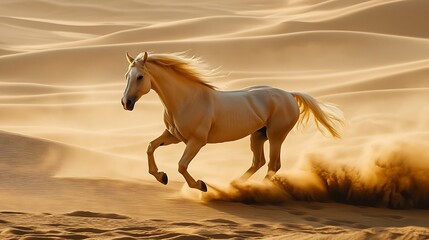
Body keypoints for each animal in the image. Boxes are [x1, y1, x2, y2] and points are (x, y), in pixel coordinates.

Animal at [122, 51, 342, 192]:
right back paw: (235, 184)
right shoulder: (173, 136)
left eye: (140, 77)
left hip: (276, 136)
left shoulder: (196, 142)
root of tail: (289, 95)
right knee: (258, 161)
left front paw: (200, 185)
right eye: (126, 76)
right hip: (258, 135)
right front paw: (161, 176)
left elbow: (181, 166)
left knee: (273, 165)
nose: (126, 103)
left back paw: (256, 189)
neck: (186, 100)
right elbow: (151, 147)